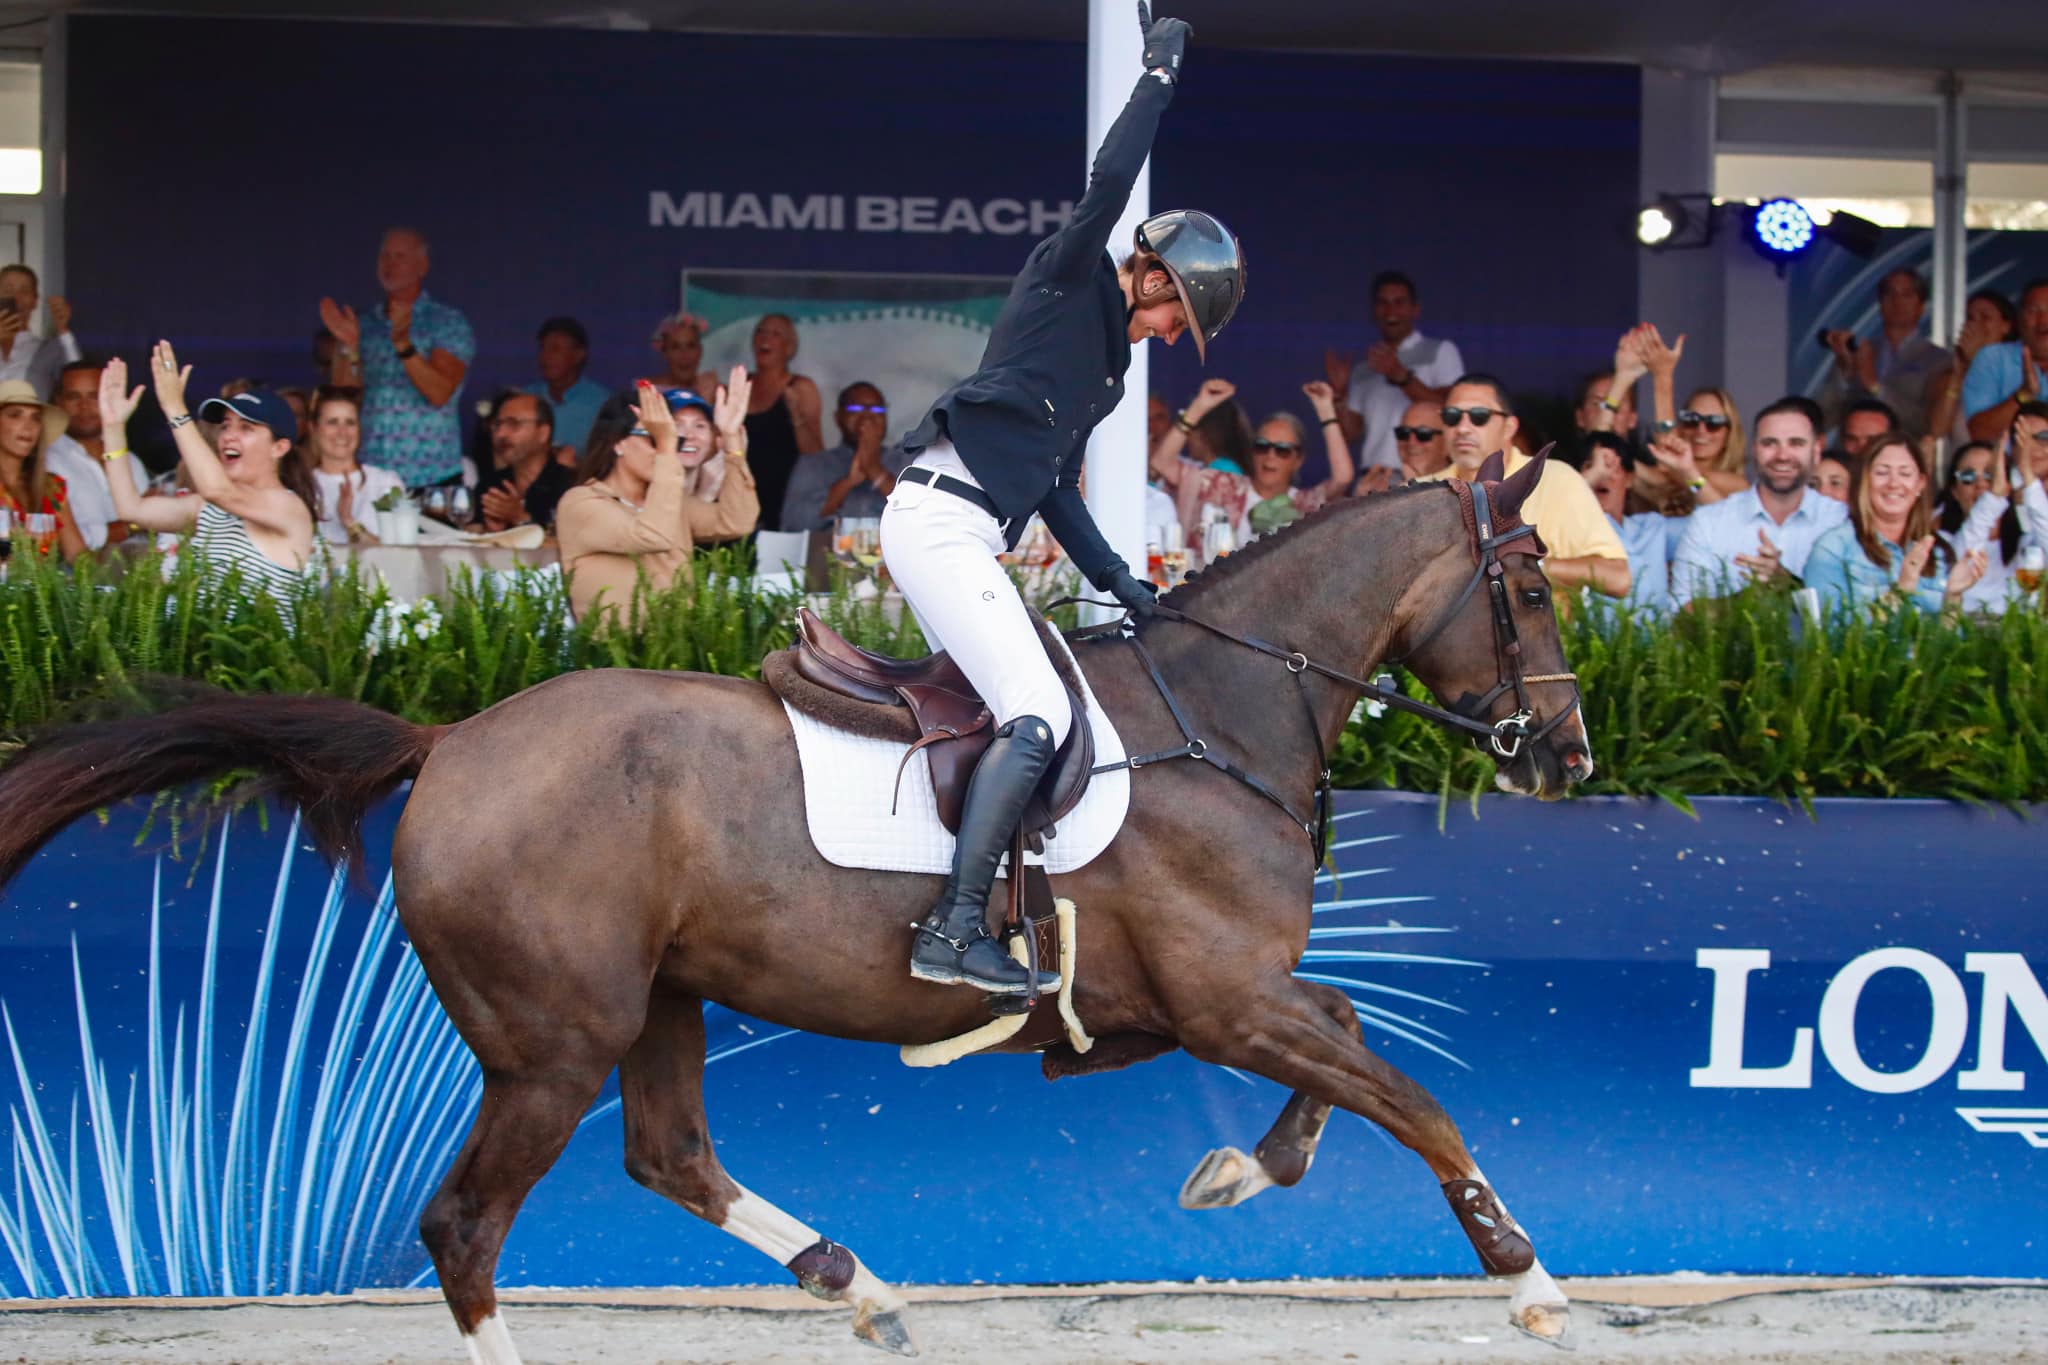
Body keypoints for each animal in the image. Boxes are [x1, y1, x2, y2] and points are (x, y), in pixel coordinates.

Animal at [0, 454, 1589, 1358]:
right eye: (1530, 585)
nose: (1566, 755)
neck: (1218, 713)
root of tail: (450, 742)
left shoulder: (1225, 1004)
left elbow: (1356, 1042)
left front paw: (1239, 1172)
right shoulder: (1222, 1000)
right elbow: (1409, 1094)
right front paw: (1524, 1278)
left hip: (659, 1001)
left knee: (666, 1157)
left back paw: (861, 1283)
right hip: (552, 1041)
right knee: (464, 1227)